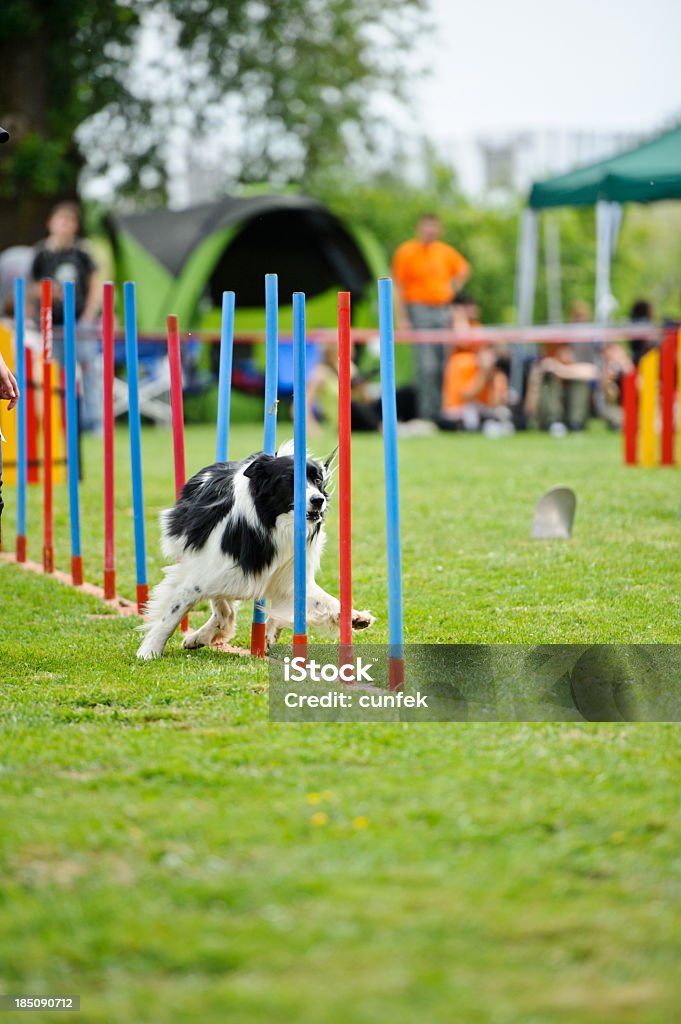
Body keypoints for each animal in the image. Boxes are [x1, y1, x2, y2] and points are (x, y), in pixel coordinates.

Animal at [136, 444, 374, 659]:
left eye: (317, 480)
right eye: (290, 480)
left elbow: (320, 600)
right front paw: (149, 651)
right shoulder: (201, 575)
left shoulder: (288, 576)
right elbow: (172, 613)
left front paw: (354, 617)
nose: (318, 500)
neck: (272, 522)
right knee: (220, 606)